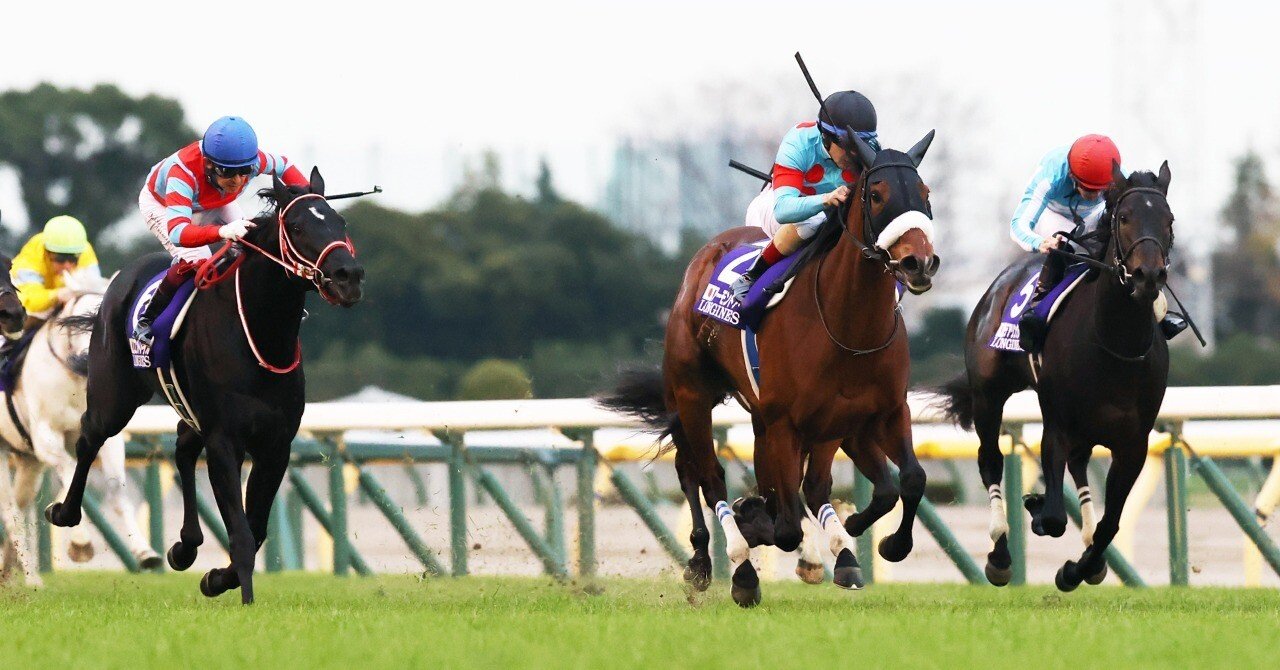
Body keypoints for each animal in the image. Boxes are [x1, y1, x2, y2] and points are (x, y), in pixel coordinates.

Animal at [0, 271, 161, 586]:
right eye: (88, 321)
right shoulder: (46, 439)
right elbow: (69, 473)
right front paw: (81, 544)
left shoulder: (108, 439)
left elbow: (115, 489)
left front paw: (144, 552)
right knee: (10, 512)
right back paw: (31, 577)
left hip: (28, 462)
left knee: (21, 504)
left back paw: (12, 570)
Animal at [47, 168, 364, 603]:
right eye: (298, 227)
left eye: (340, 221)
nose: (349, 277)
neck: (259, 337)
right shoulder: (225, 440)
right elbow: (242, 534)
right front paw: (242, 596)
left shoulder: (275, 445)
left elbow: (257, 529)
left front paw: (217, 578)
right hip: (115, 395)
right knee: (89, 437)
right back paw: (63, 512)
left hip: (188, 408)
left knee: (182, 447)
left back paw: (186, 545)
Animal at [601, 130, 940, 606]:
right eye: (876, 195)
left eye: (925, 194)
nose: (919, 263)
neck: (848, 326)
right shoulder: (788, 421)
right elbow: (786, 521)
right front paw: (765, 536)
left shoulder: (875, 413)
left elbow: (907, 479)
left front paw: (878, 543)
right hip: (691, 396)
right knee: (702, 475)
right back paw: (723, 566)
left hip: (779, 419)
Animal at [934, 163, 1173, 591]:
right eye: (1125, 218)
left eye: (1169, 220)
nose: (1148, 275)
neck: (1114, 345)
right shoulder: (1057, 425)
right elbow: (1055, 517)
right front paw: (1035, 507)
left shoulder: (1133, 444)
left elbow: (1109, 526)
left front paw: (1078, 569)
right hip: (988, 395)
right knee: (990, 460)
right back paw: (1000, 555)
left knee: (1079, 466)